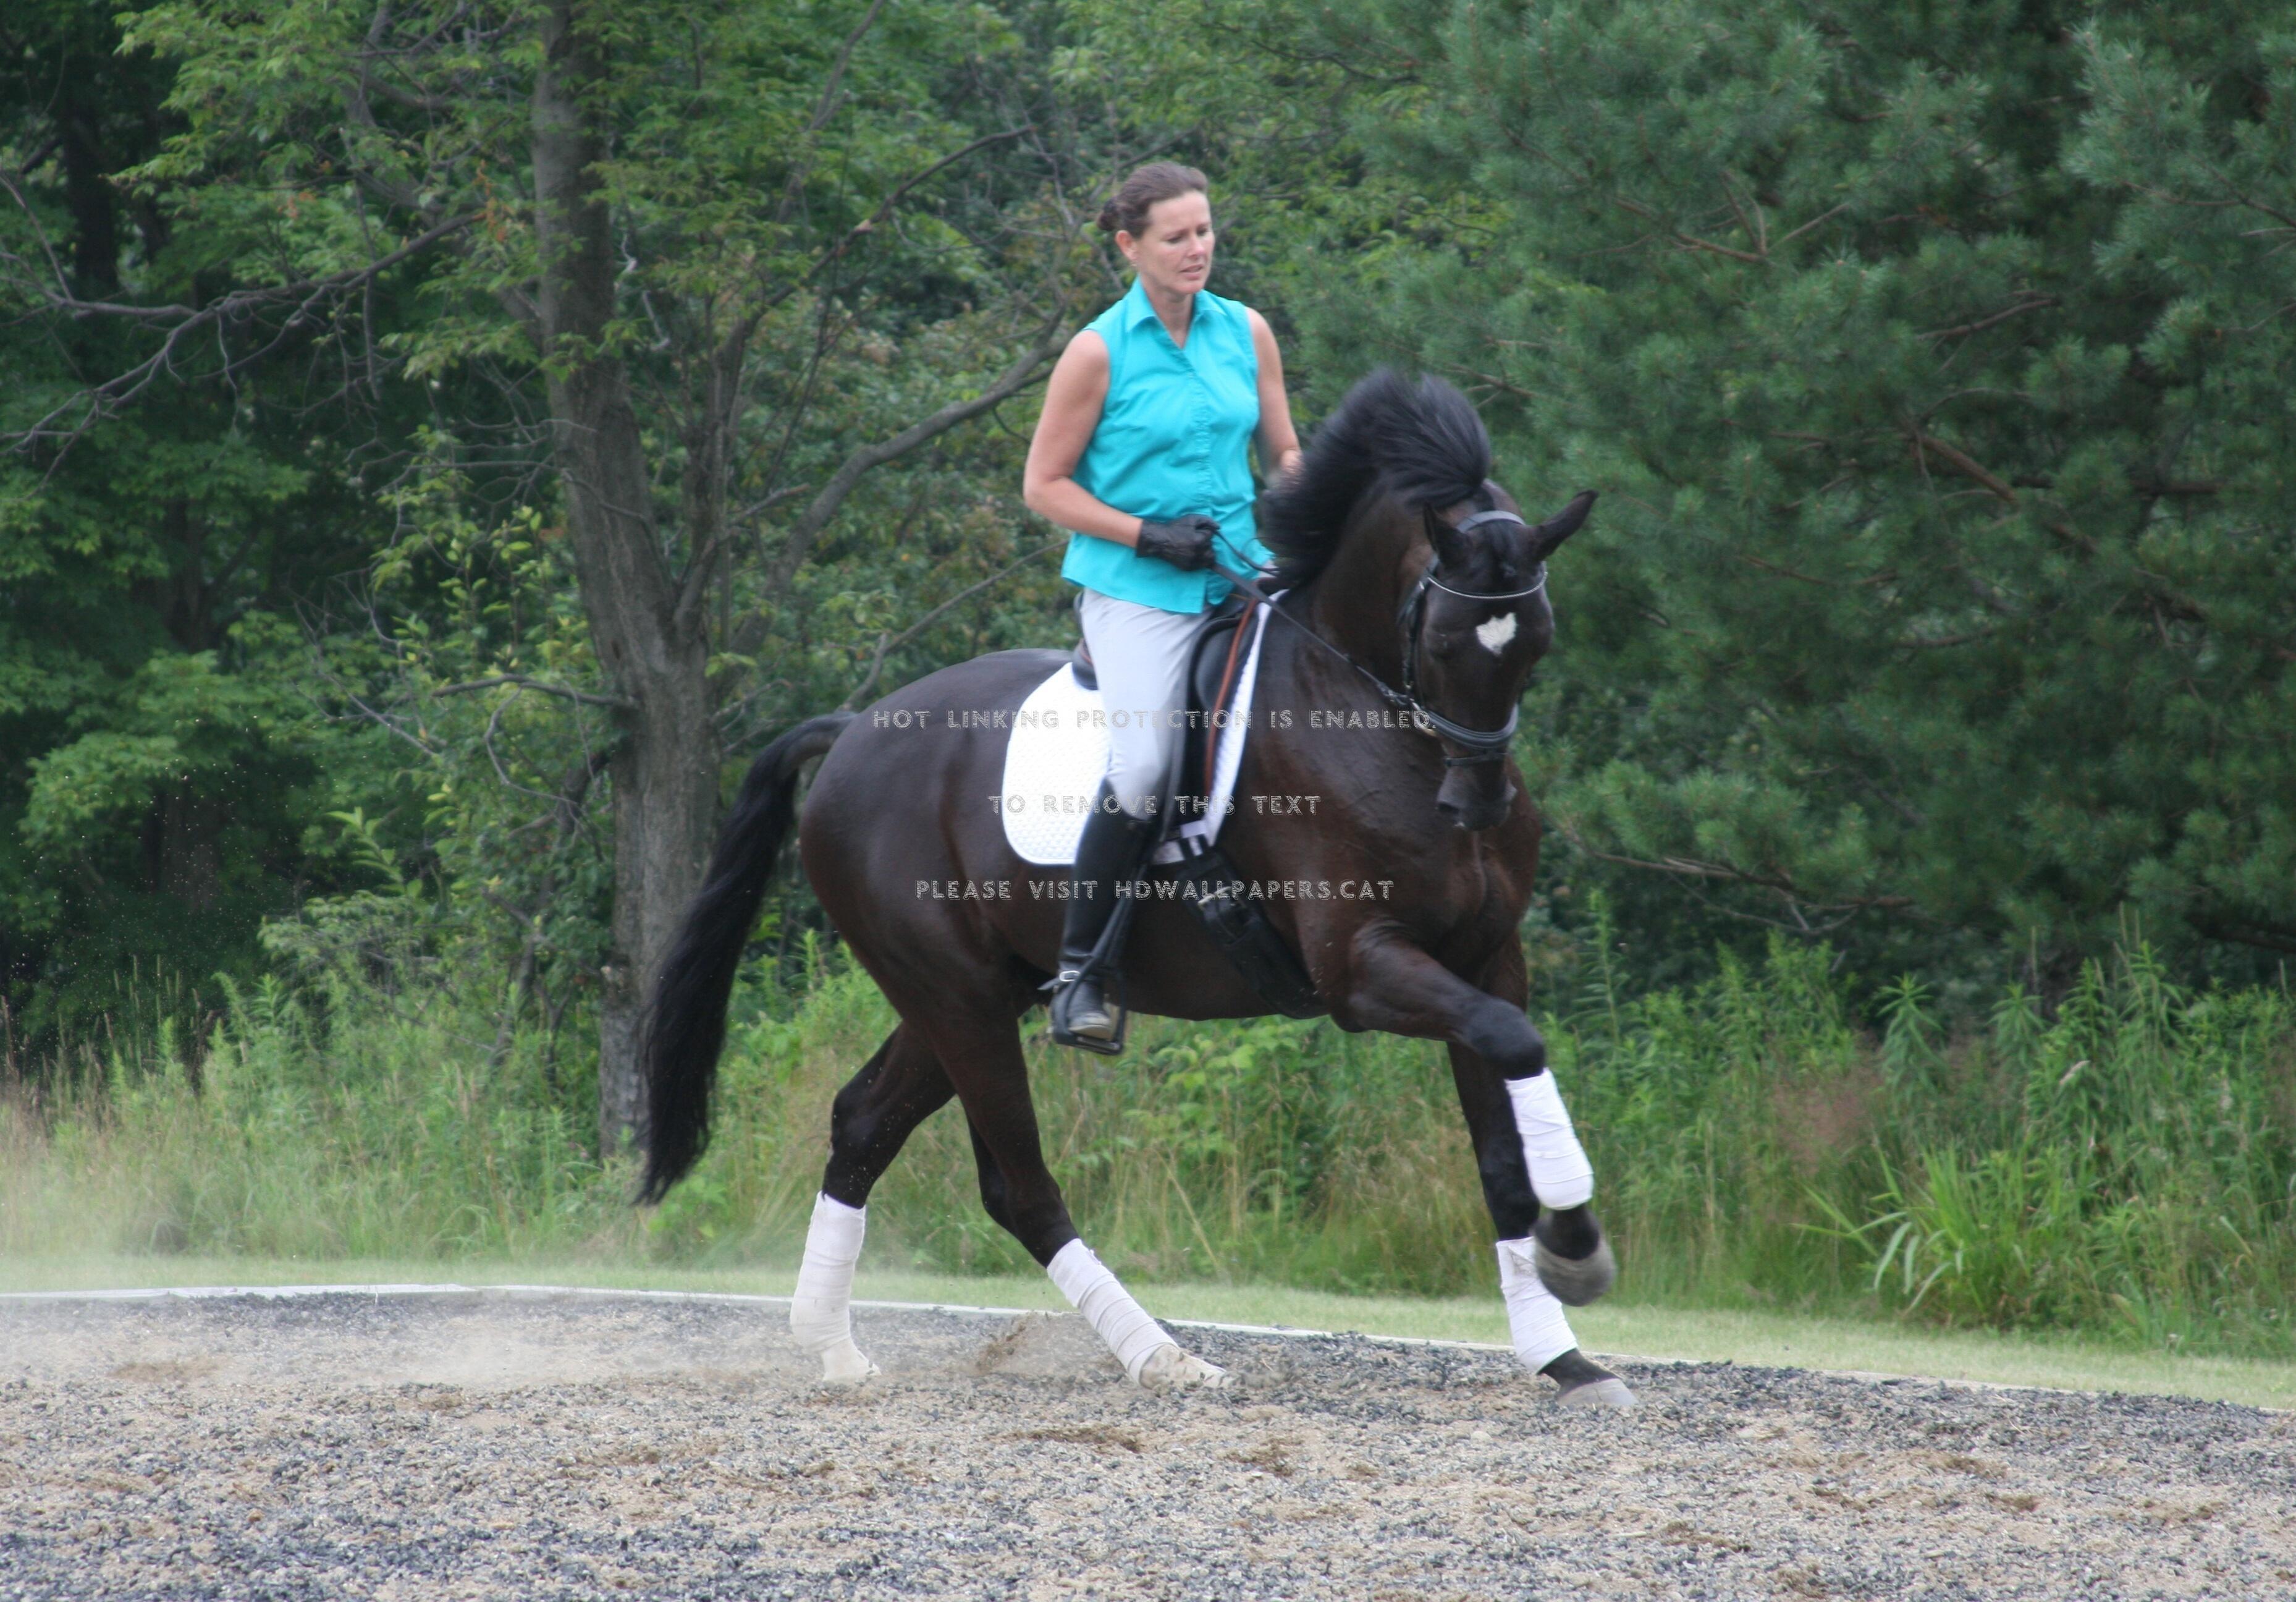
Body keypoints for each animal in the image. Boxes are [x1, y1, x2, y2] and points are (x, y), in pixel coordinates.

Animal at [640, 369, 1633, 1408]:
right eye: (1440, 642)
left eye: (1537, 643)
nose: (1474, 805)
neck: (1370, 712)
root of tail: (854, 730)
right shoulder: (1361, 972)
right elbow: (1515, 1046)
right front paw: (1577, 1249)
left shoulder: (1484, 957)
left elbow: (1503, 1135)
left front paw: (1564, 1351)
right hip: (955, 997)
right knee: (1019, 1187)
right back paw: (1163, 1356)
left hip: (968, 994)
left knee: (865, 1125)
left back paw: (834, 1350)